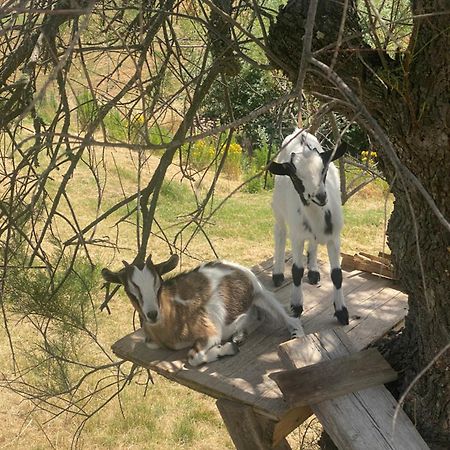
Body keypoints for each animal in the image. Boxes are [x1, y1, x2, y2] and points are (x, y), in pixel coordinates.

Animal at [102, 253, 304, 366]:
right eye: (130, 292)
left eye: (158, 286)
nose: (152, 314)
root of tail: (230, 265)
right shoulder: (150, 341)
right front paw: (231, 344)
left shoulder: (209, 333)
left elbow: (193, 358)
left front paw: (226, 349)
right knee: (256, 318)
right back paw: (239, 335)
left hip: (261, 294)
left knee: (290, 318)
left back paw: (296, 336)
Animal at [268, 128, 348, 326]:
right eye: (295, 176)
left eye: (324, 170)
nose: (320, 196)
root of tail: (299, 132)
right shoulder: (297, 236)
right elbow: (297, 271)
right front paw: (296, 307)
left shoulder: (334, 237)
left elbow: (337, 274)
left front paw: (342, 312)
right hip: (279, 210)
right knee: (280, 232)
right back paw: (278, 274)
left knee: (312, 242)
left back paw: (313, 271)